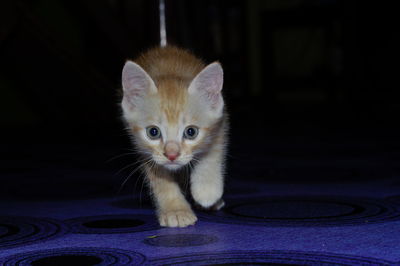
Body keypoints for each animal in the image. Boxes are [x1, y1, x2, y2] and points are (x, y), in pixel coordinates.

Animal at [119, 45, 228, 227]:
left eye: (191, 132)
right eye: (153, 132)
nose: (171, 155)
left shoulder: (220, 122)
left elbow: (212, 154)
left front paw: (207, 190)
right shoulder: (143, 150)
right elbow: (160, 180)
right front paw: (176, 210)